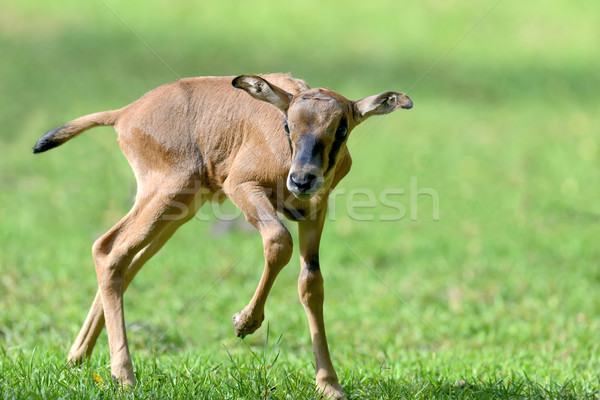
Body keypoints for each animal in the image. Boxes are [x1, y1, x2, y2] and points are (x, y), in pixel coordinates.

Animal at [32, 74, 412, 396]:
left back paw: (78, 359)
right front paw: (244, 323)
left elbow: (311, 284)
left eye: (342, 127)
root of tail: (126, 113)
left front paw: (329, 385)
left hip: (178, 212)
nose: (302, 180)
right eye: (288, 124)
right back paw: (124, 376)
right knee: (109, 249)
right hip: (166, 195)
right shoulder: (243, 188)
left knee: (125, 261)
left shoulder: (313, 213)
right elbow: (278, 242)